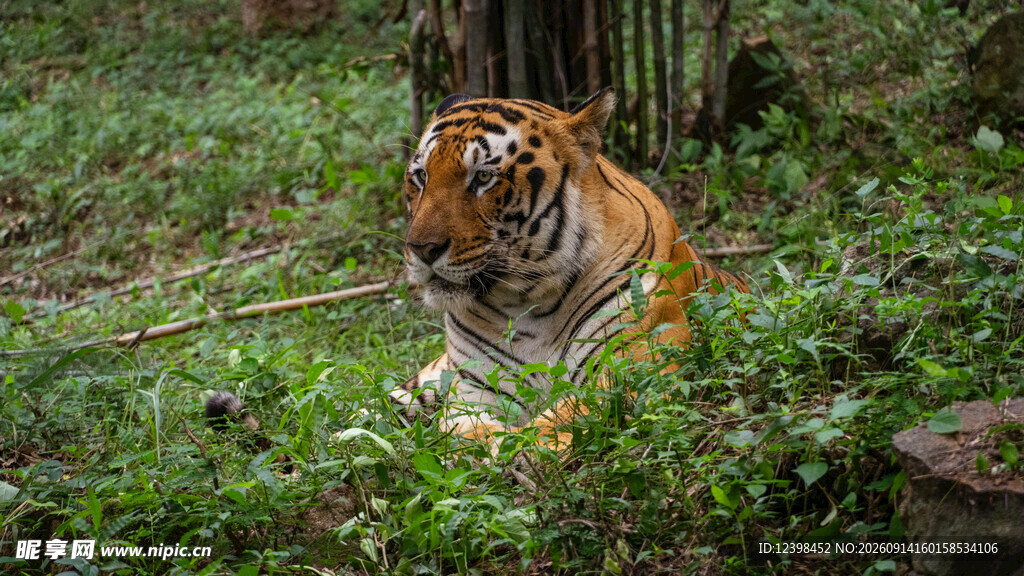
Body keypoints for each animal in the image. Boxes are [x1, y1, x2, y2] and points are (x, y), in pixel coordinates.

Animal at [393, 87, 749, 447]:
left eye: (483, 176)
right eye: (421, 176)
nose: (421, 250)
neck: (527, 301)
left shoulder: (639, 367)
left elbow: (567, 413)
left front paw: (517, 446)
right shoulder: (473, 388)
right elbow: (464, 427)